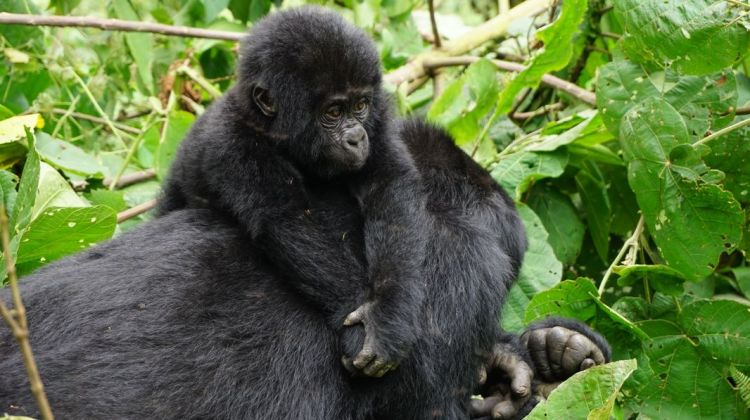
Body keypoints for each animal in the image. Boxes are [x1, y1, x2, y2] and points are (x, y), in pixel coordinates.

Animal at [159, 6, 426, 376]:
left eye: (360, 106)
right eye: (333, 112)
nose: (357, 138)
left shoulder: (380, 114)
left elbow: (389, 183)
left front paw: (390, 315)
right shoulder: (231, 144)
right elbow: (289, 221)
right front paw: (357, 324)